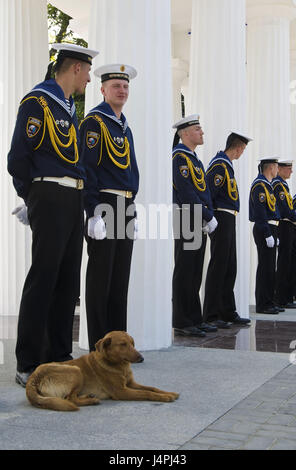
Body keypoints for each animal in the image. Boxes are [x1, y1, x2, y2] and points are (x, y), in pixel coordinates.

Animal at [25, 330, 179, 412]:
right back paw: (91, 401)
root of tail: (33, 379)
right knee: (70, 399)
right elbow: (146, 393)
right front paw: (165, 397)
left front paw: (169, 393)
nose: (142, 358)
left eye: (132, 343)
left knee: (71, 397)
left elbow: (152, 388)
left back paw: (89, 397)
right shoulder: (121, 391)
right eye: (123, 344)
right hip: (75, 370)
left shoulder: (131, 384)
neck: (120, 366)